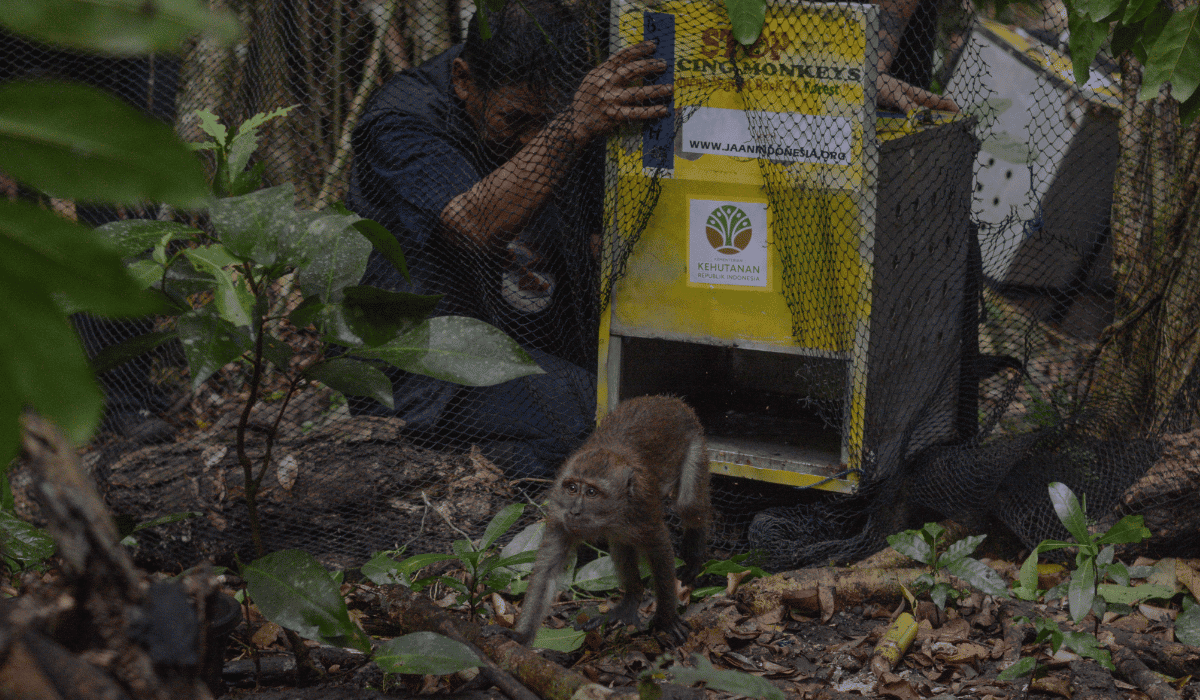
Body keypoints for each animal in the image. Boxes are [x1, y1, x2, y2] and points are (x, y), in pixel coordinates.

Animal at [511, 395, 710, 646]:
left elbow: (660, 552)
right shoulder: (558, 511)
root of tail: (668, 400)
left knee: (688, 507)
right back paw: (631, 599)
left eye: (591, 492)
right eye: (572, 488)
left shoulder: (643, 509)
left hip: (695, 440)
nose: (574, 511)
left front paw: (666, 619)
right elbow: (546, 571)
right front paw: (520, 636)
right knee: (621, 542)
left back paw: (694, 554)